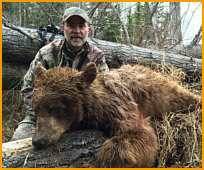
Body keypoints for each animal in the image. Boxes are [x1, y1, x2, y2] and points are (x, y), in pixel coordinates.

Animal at [31, 62, 200, 167]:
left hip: (165, 93)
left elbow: (140, 134)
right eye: (35, 108)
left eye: (55, 108)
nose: (37, 140)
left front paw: (94, 163)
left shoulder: (117, 106)